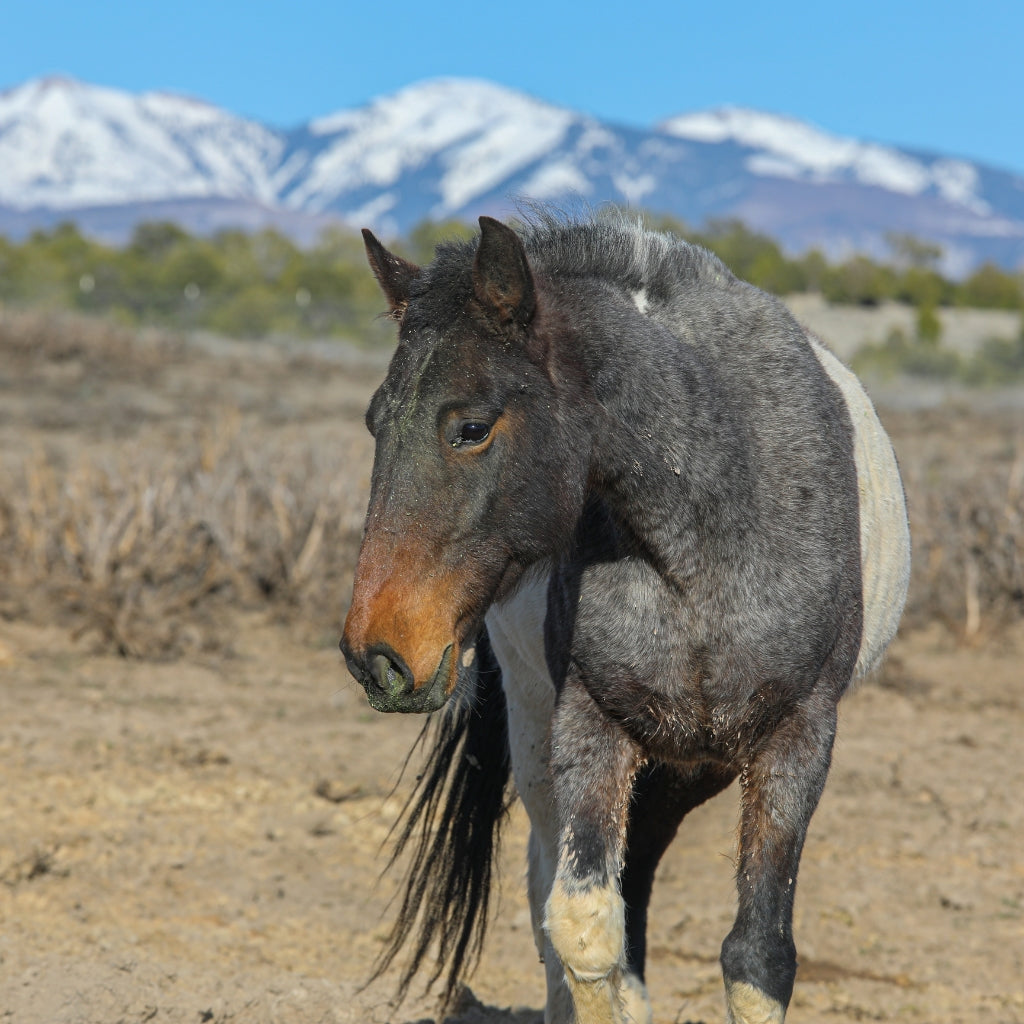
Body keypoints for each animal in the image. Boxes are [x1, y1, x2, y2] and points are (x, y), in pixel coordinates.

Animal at [339, 209, 909, 1024]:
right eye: (375, 423)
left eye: (471, 427)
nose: (377, 656)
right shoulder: (592, 725)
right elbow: (582, 927)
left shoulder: (798, 736)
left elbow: (758, 956)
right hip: (548, 735)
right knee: (555, 886)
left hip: (688, 765)